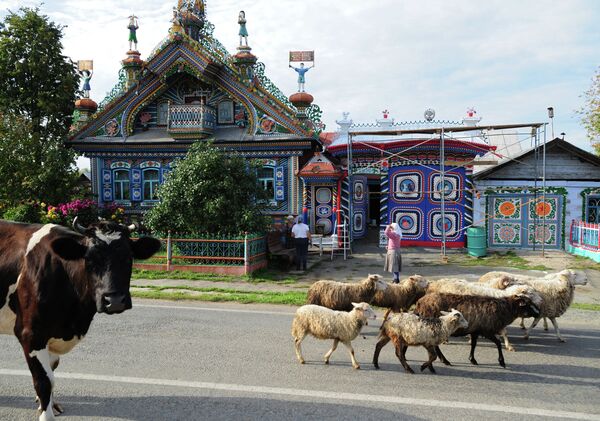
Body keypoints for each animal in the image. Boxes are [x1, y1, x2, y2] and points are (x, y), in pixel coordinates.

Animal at [0, 218, 162, 418]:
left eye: (128, 257)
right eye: (89, 259)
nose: (115, 300)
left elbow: (52, 373)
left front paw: (52, 405)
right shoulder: (30, 334)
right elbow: (44, 381)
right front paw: (46, 414)